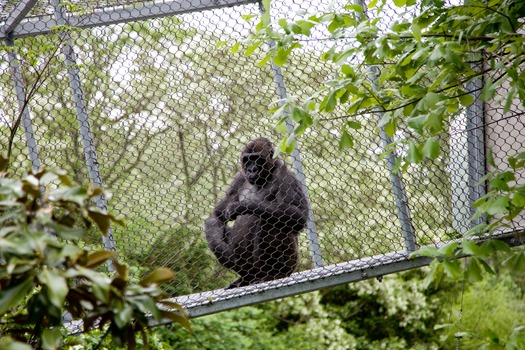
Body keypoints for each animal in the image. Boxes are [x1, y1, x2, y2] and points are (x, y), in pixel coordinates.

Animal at [205, 137, 310, 288]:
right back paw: (244, 279)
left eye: (256, 158)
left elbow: (298, 215)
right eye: (247, 160)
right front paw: (220, 249)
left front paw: (242, 206)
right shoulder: (239, 177)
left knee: (272, 223)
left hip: (291, 265)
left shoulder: (285, 173)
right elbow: (217, 216)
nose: (251, 169)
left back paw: (274, 274)